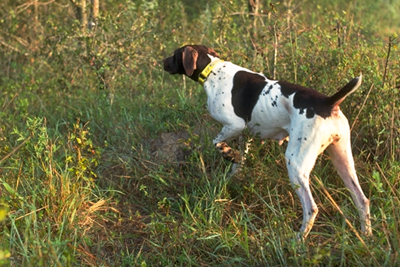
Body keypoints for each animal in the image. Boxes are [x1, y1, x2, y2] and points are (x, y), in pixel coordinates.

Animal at [162, 45, 372, 240]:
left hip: (296, 164)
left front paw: (228, 154)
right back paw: (366, 235)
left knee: (311, 208)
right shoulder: (244, 135)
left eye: (174, 54)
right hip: (343, 160)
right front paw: (231, 171)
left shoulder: (234, 125)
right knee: (362, 200)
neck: (213, 69)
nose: (162, 61)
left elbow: (217, 143)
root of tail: (329, 102)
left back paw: (298, 240)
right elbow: (237, 164)